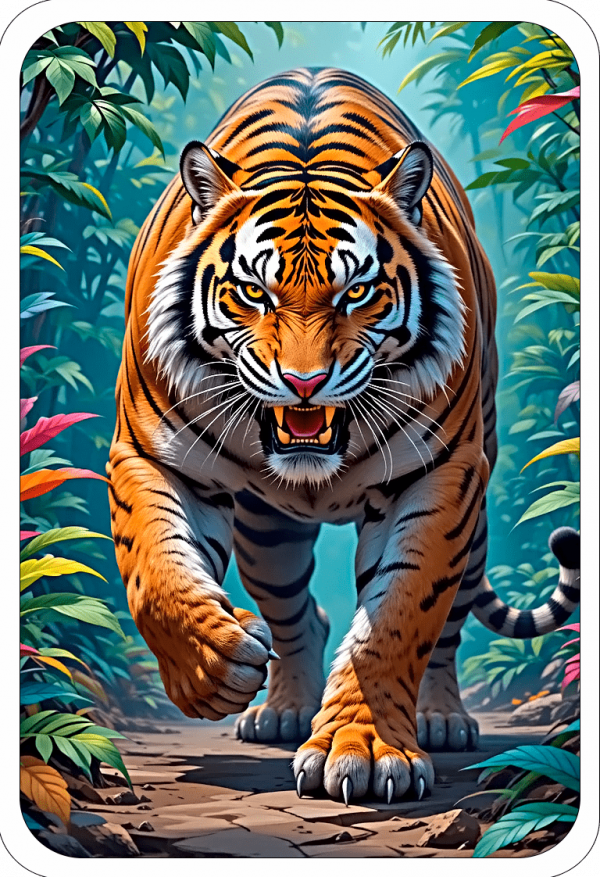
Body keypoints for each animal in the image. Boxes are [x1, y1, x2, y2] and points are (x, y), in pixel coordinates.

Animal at [108, 67, 581, 803]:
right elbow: (154, 572)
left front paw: (365, 749)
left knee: (446, 627)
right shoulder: (150, 455)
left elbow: (398, 618)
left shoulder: (440, 476)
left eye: (355, 292)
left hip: (473, 514)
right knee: (297, 611)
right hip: (267, 534)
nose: (304, 383)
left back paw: (442, 719)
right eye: (255, 292)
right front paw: (215, 666)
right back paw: (279, 709)